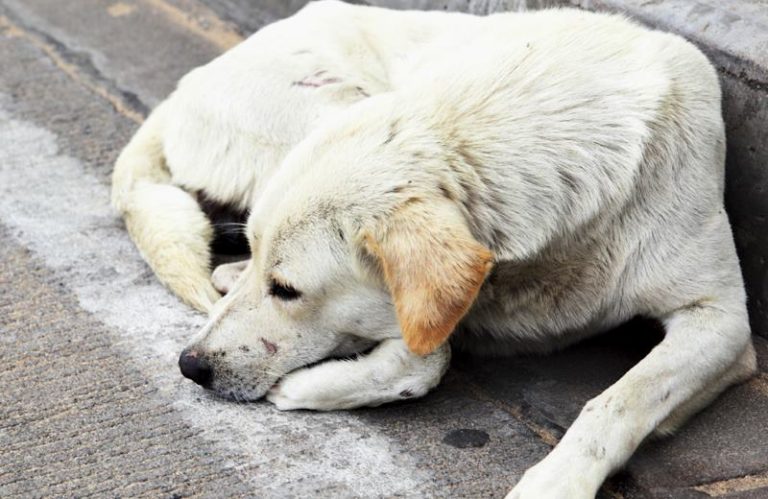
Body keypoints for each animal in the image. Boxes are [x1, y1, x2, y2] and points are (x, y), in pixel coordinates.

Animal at [111, 1, 760, 498]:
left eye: (288, 290)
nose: (189, 366)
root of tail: (182, 88)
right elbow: (429, 356)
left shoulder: (723, 321)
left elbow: (619, 401)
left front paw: (557, 481)